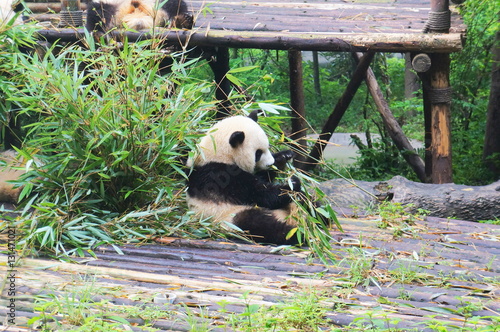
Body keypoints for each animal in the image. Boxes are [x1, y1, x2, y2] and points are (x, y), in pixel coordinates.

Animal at [188, 111, 328, 244]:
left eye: (268, 147)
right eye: (258, 153)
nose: (270, 163)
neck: (217, 153)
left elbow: (263, 177)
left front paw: (284, 157)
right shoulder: (220, 177)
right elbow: (260, 194)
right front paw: (292, 183)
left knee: (307, 202)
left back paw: (321, 218)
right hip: (230, 216)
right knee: (260, 225)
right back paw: (298, 235)